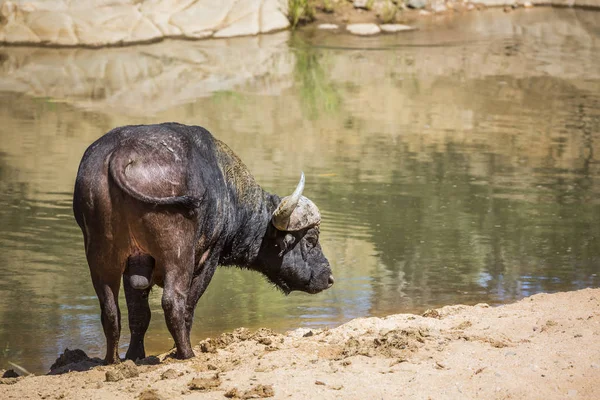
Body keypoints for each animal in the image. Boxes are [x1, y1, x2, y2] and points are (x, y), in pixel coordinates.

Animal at [72, 122, 332, 362]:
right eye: (311, 239)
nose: (329, 277)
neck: (229, 191)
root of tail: (122, 152)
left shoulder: (133, 268)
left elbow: (139, 315)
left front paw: (136, 356)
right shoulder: (209, 258)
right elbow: (188, 307)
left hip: (100, 256)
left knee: (110, 309)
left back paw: (112, 360)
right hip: (178, 255)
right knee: (173, 302)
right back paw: (187, 353)